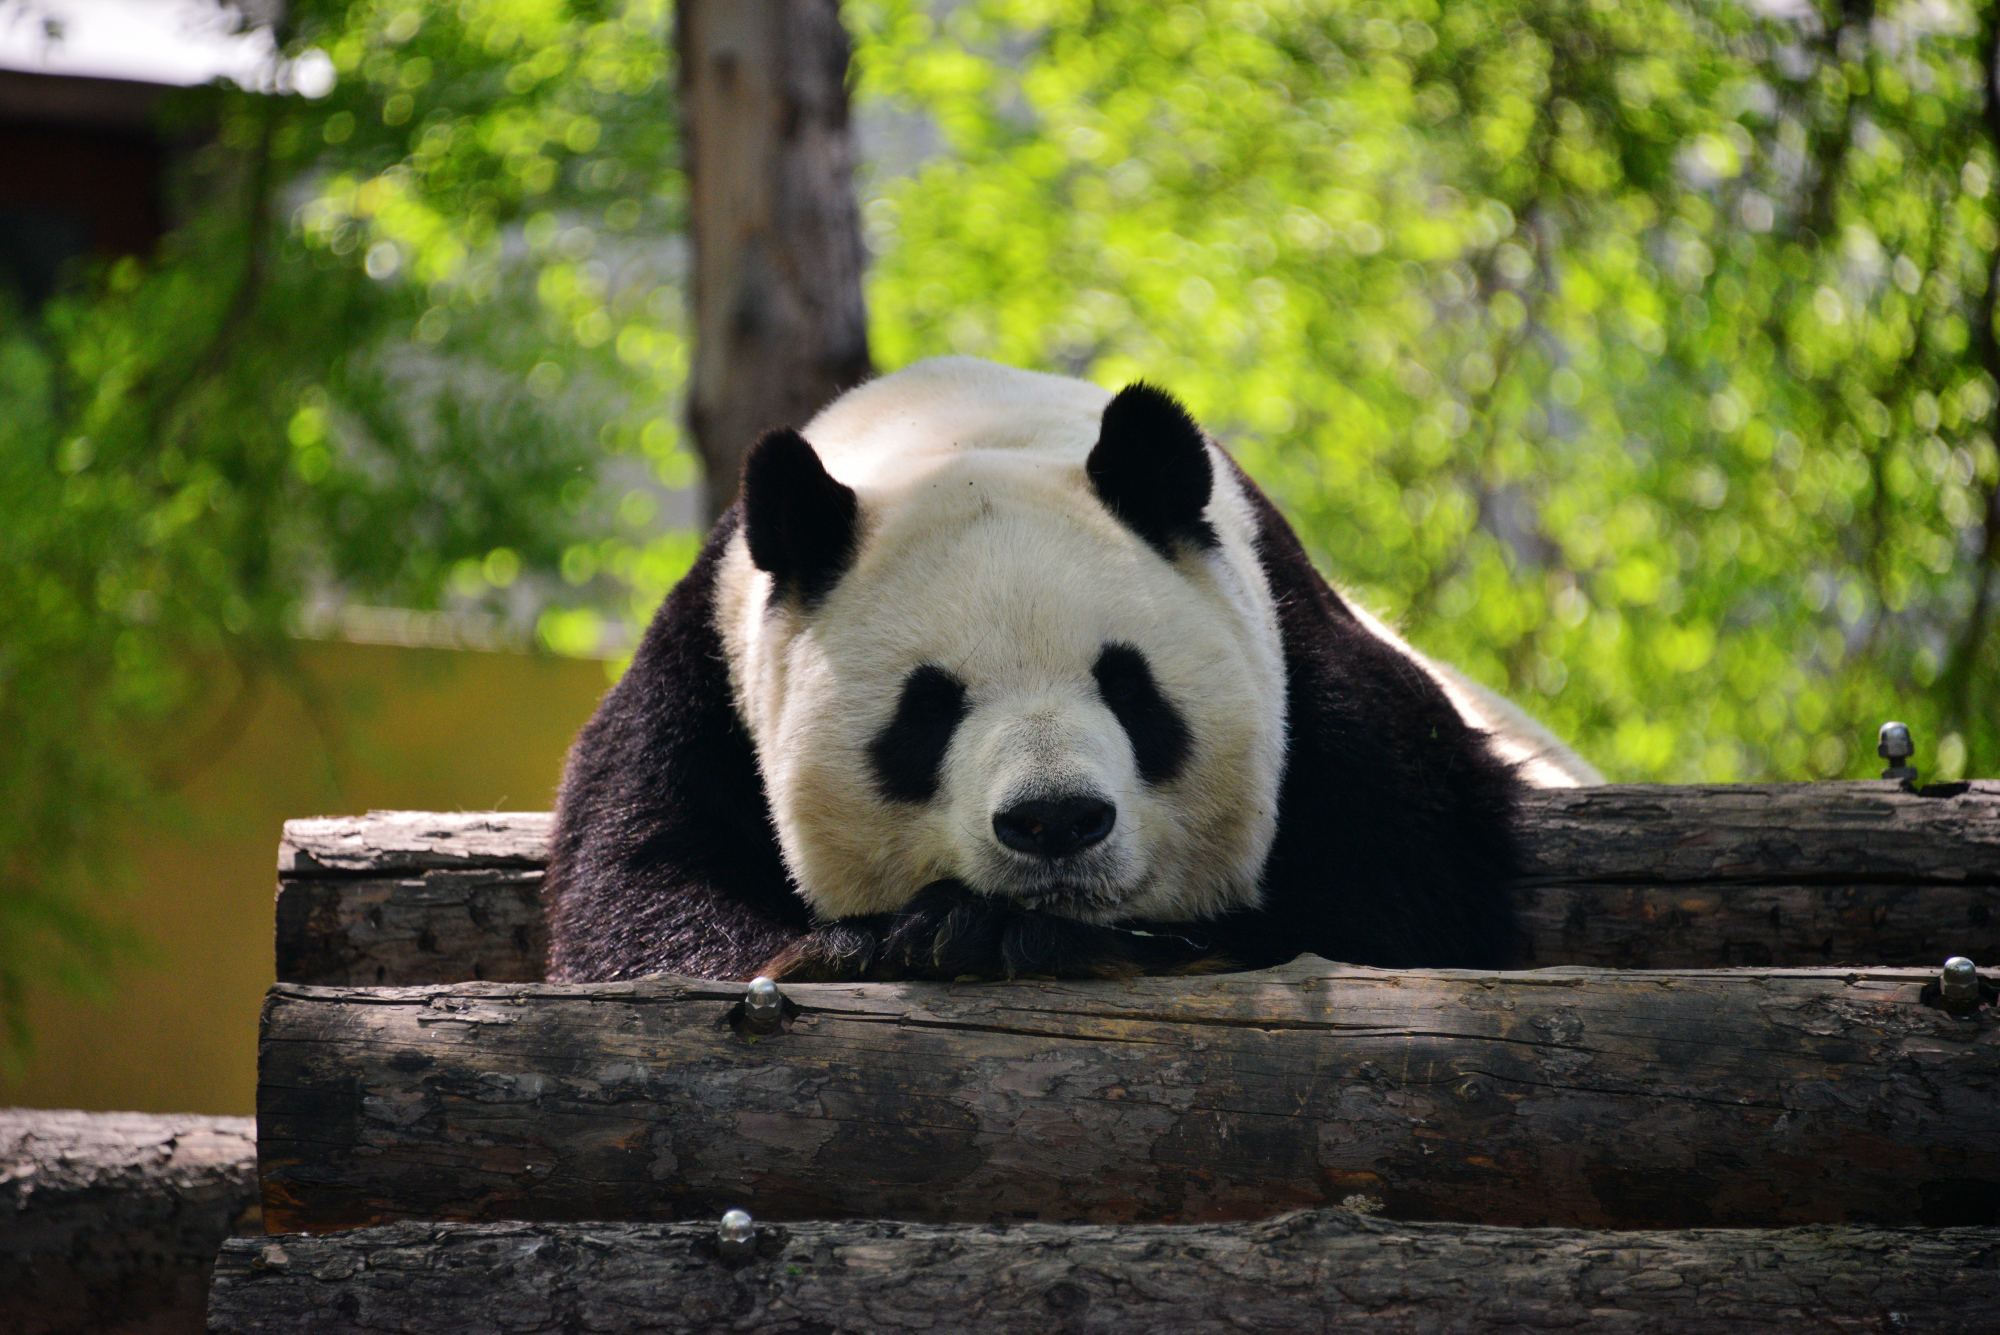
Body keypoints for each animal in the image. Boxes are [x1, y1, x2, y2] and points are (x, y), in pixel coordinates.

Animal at [543, 357, 1599, 984]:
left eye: (1129, 687)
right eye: (928, 710)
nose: (1054, 820)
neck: (959, 433)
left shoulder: (1306, 660)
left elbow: (1394, 898)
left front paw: (1009, 938)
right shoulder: (706, 673)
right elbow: (643, 883)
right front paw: (864, 946)